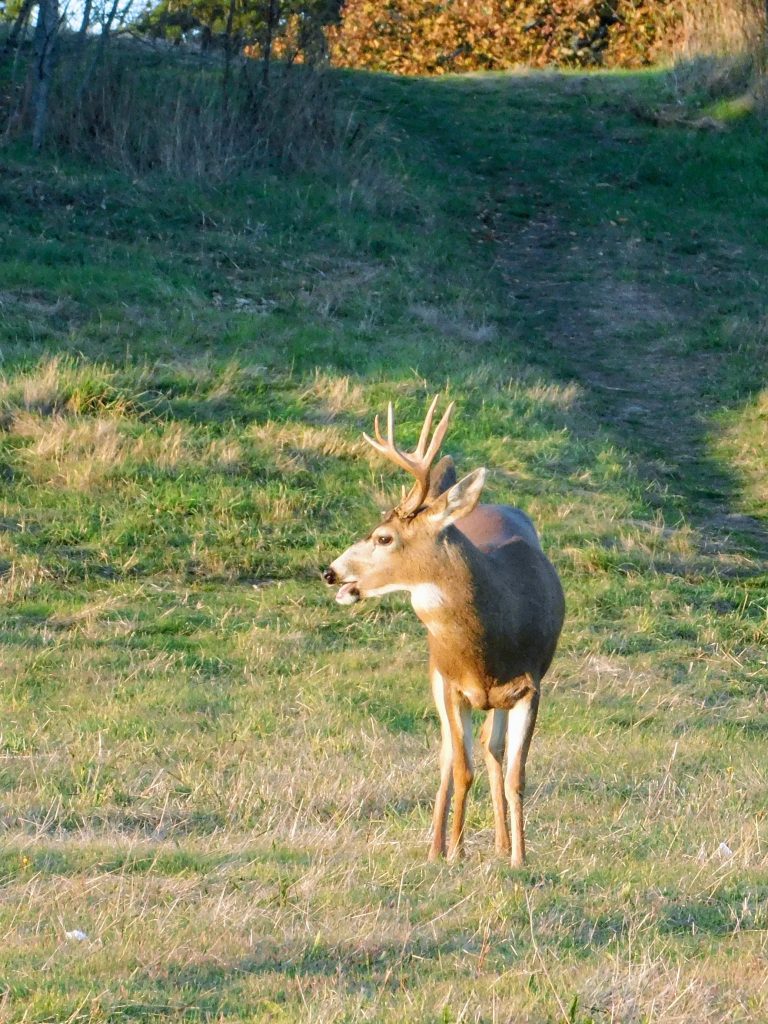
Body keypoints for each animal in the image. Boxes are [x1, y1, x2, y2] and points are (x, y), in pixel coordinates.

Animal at [321, 397, 569, 864]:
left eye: (383, 537)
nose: (330, 571)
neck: (490, 643)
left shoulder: (531, 685)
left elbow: (516, 774)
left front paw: (519, 858)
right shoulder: (452, 683)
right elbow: (460, 768)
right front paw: (454, 851)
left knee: (491, 748)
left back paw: (500, 843)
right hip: (436, 675)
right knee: (448, 756)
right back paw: (436, 847)